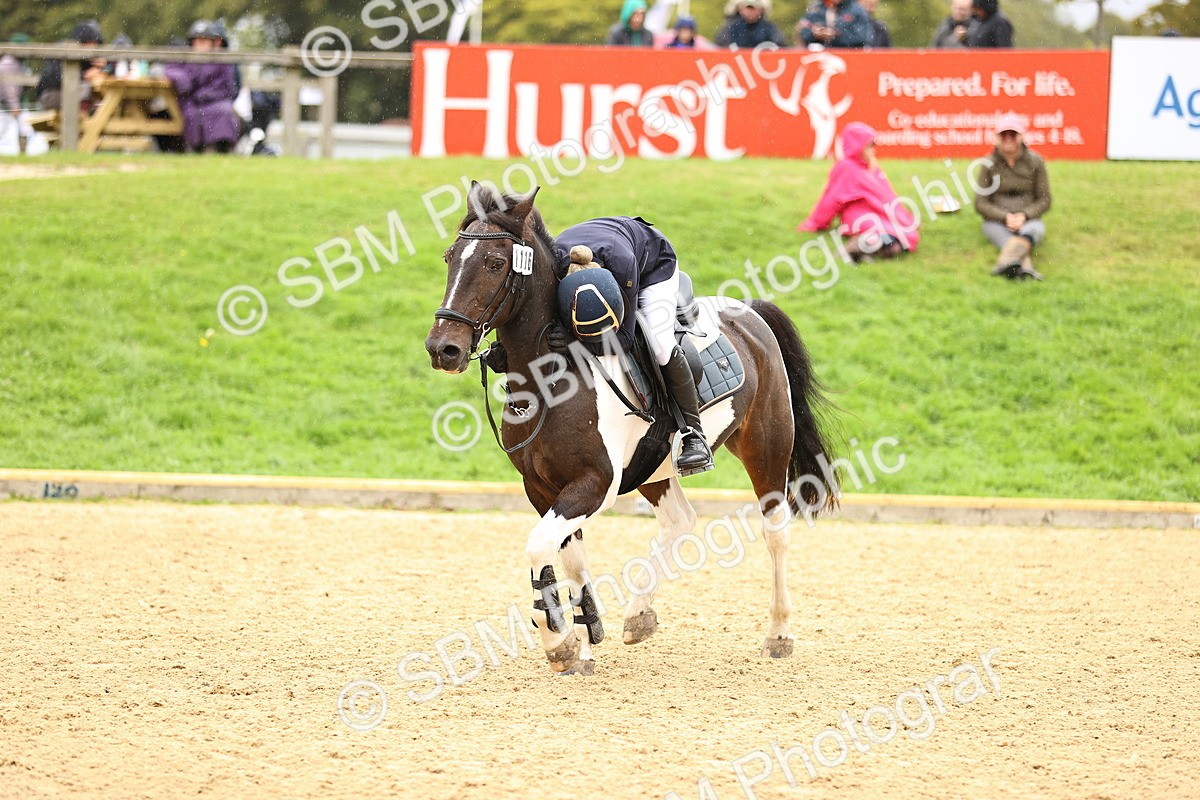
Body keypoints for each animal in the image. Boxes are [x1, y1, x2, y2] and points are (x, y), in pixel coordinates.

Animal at [424, 182, 839, 675]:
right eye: (450, 257)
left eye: (493, 263)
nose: (442, 349)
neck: (551, 375)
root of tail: (750, 311)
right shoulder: (542, 487)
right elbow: (569, 558)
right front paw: (582, 642)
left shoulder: (594, 483)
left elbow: (539, 546)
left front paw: (558, 642)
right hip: (655, 464)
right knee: (680, 521)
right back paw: (640, 615)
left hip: (766, 447)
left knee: (775, 531)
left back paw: (778, 633)